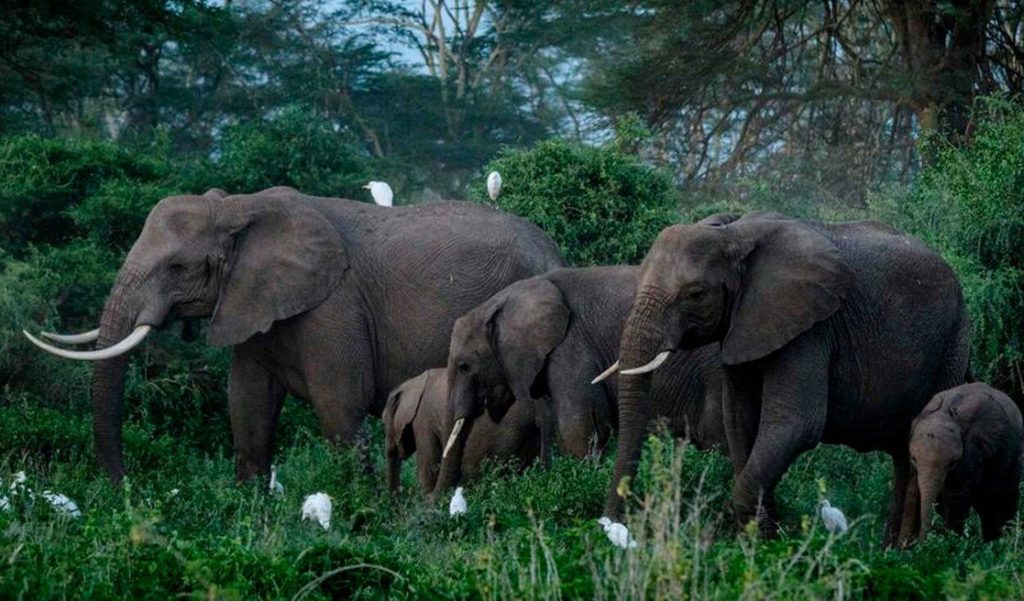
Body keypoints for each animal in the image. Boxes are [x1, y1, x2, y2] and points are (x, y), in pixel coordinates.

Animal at [598, 212, 970, 542]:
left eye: (696, 294)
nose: (613, 524)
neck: (734, 233)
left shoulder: (812, 328)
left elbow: (795, 424)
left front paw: (763, 546)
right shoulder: (743, 326)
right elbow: (740, 420)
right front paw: (762, 540)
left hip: (953, 342)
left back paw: (914, 552)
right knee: (904, 455)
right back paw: (893, 550)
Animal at [898, 383, 1023, 544]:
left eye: (953, 463)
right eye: (914, 459)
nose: (922, 543)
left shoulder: (973, 452)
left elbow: (956, 495)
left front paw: (951, 543)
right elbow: (915, 490)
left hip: (1015, 457)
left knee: (1000, 500)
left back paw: (999, 543)